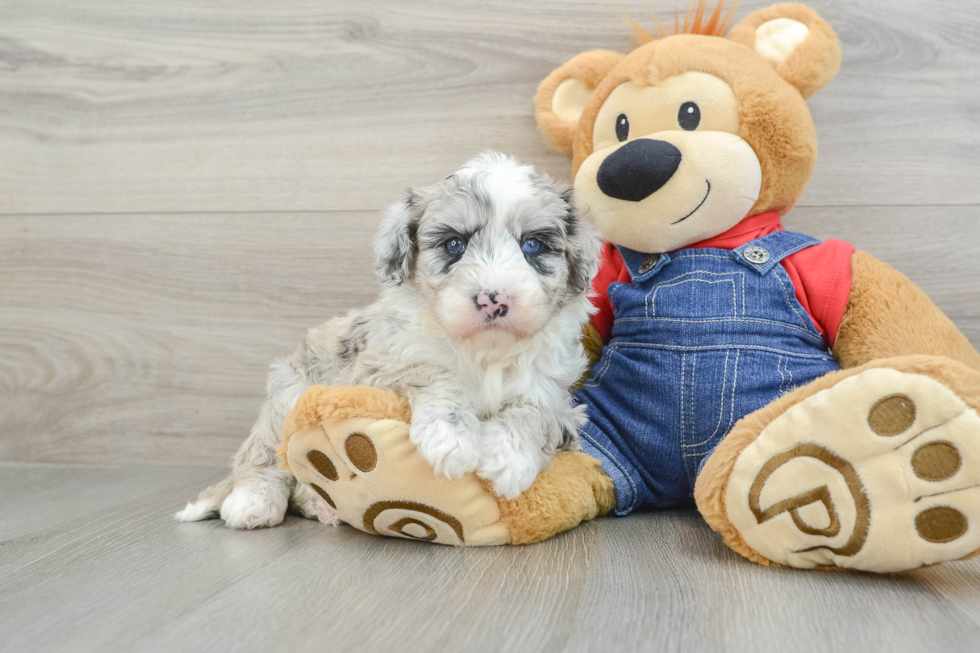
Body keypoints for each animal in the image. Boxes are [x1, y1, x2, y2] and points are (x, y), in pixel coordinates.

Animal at [179, 150, 600, 528]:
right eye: (454, 244)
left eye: (533, 245)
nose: (493, 299)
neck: (484, 352)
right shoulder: (379, 368)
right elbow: (435, 373)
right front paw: (451, 438)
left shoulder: (560, 397)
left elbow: (536, 410)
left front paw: (508, 458)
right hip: (287, 395)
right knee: (263, 458)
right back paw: (253, 501)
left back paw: (322, 506)